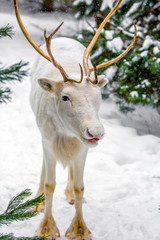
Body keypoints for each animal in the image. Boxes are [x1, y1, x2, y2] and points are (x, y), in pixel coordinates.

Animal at [13, 0, 136, 238]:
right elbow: (50, 184)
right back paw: (38, 200)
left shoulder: (82, 146)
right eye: (65, 96)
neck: (65, 133)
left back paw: (68, 193)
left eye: (98, 95)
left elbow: (81, 187)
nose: (96, 131)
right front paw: (46, 228)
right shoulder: (48, 140)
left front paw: (79, 228)